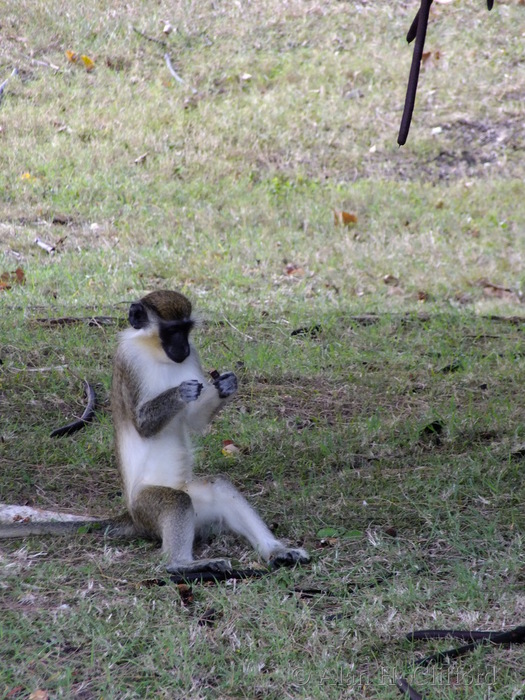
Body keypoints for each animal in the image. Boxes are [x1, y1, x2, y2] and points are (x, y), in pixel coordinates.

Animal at [0, 290, 309, 576]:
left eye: (186, 329)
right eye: (171, 331)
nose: (183, 347)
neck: (154, 351)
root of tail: (131, 517)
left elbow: (194, 420)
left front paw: (226, 384)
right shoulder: (128, 360)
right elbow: (142, 425)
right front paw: (182, 391)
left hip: (195, 508)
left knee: (218, 487)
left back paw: (277, 551)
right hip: (147, 509)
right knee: (177, 502)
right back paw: (181, 565)